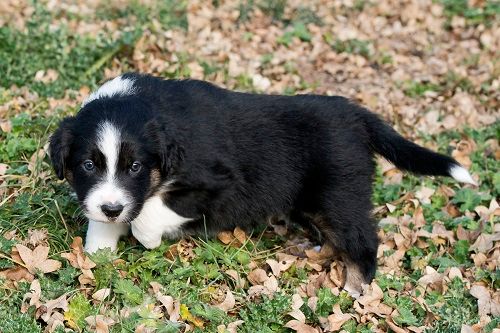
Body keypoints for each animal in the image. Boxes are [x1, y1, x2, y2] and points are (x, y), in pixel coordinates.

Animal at [50, 72, 476, 294]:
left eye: (136, 166)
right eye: (88, 165)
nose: (112, 207)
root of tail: (357, 116)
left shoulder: (219, 183)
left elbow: (150, 211)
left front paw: (145, 235)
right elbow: (104, 224)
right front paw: (98, 253)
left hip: (340, 194)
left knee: (364, 239)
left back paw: (355, 287)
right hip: (312, 199)